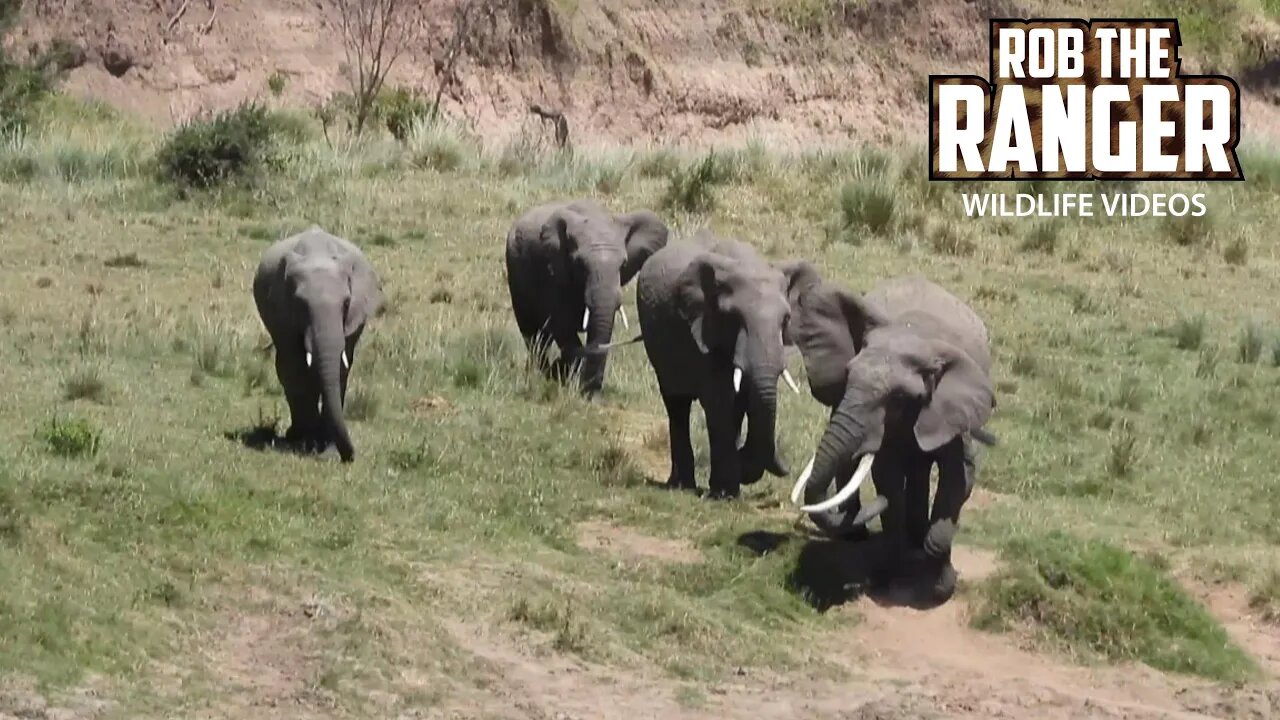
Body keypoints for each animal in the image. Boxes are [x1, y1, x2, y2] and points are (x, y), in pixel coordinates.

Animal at [252, 222, 381, 458]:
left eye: (346, 304)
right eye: (301, 304)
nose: (350, 457)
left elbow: (341, 368)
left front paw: (327, 450)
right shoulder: (282, 313)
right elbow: (297, 368)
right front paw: (309, 444)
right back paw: (297, 435)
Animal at [504, 198, 670, 394]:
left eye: (623, 264)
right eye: (579, 264)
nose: (590, 393)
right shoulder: (551, 272)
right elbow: (562, 324)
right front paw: (562, 375)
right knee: (532, 334)